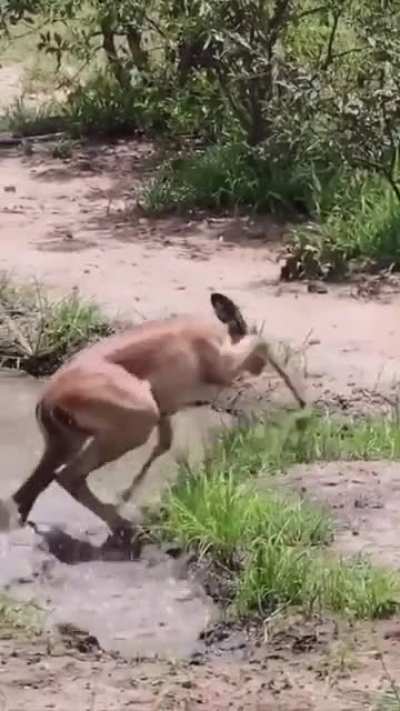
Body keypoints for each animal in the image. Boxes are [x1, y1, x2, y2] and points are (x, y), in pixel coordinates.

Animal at [0, 293, 306, 550]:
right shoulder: (221, 368)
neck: (216, 339)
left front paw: (127, 495)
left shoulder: (166, 411)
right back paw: (127, 528)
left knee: (33, 488)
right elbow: (262, 342)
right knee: (67, 477)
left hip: (70, 441)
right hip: (135, 423)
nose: (259, 368)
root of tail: (48, 399)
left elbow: (164, 446)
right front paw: (303, 403)